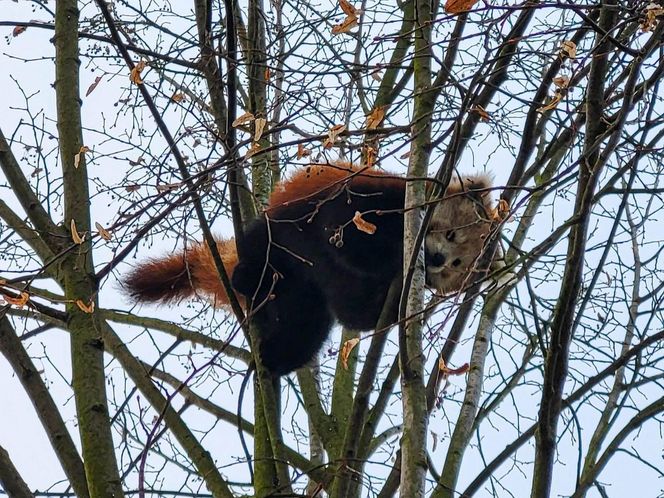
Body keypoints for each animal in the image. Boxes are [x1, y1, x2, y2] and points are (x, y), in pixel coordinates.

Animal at [124, 164, 492, 378]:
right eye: (451, 234)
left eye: (457, 264)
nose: (437, 260)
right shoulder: (374, 198)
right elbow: (346, 231)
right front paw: (394, 257)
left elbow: (356, 313)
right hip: (276, 236)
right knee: (262, 251)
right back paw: (247, 278)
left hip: (307, 300)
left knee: (306, 329)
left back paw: (276, 358)